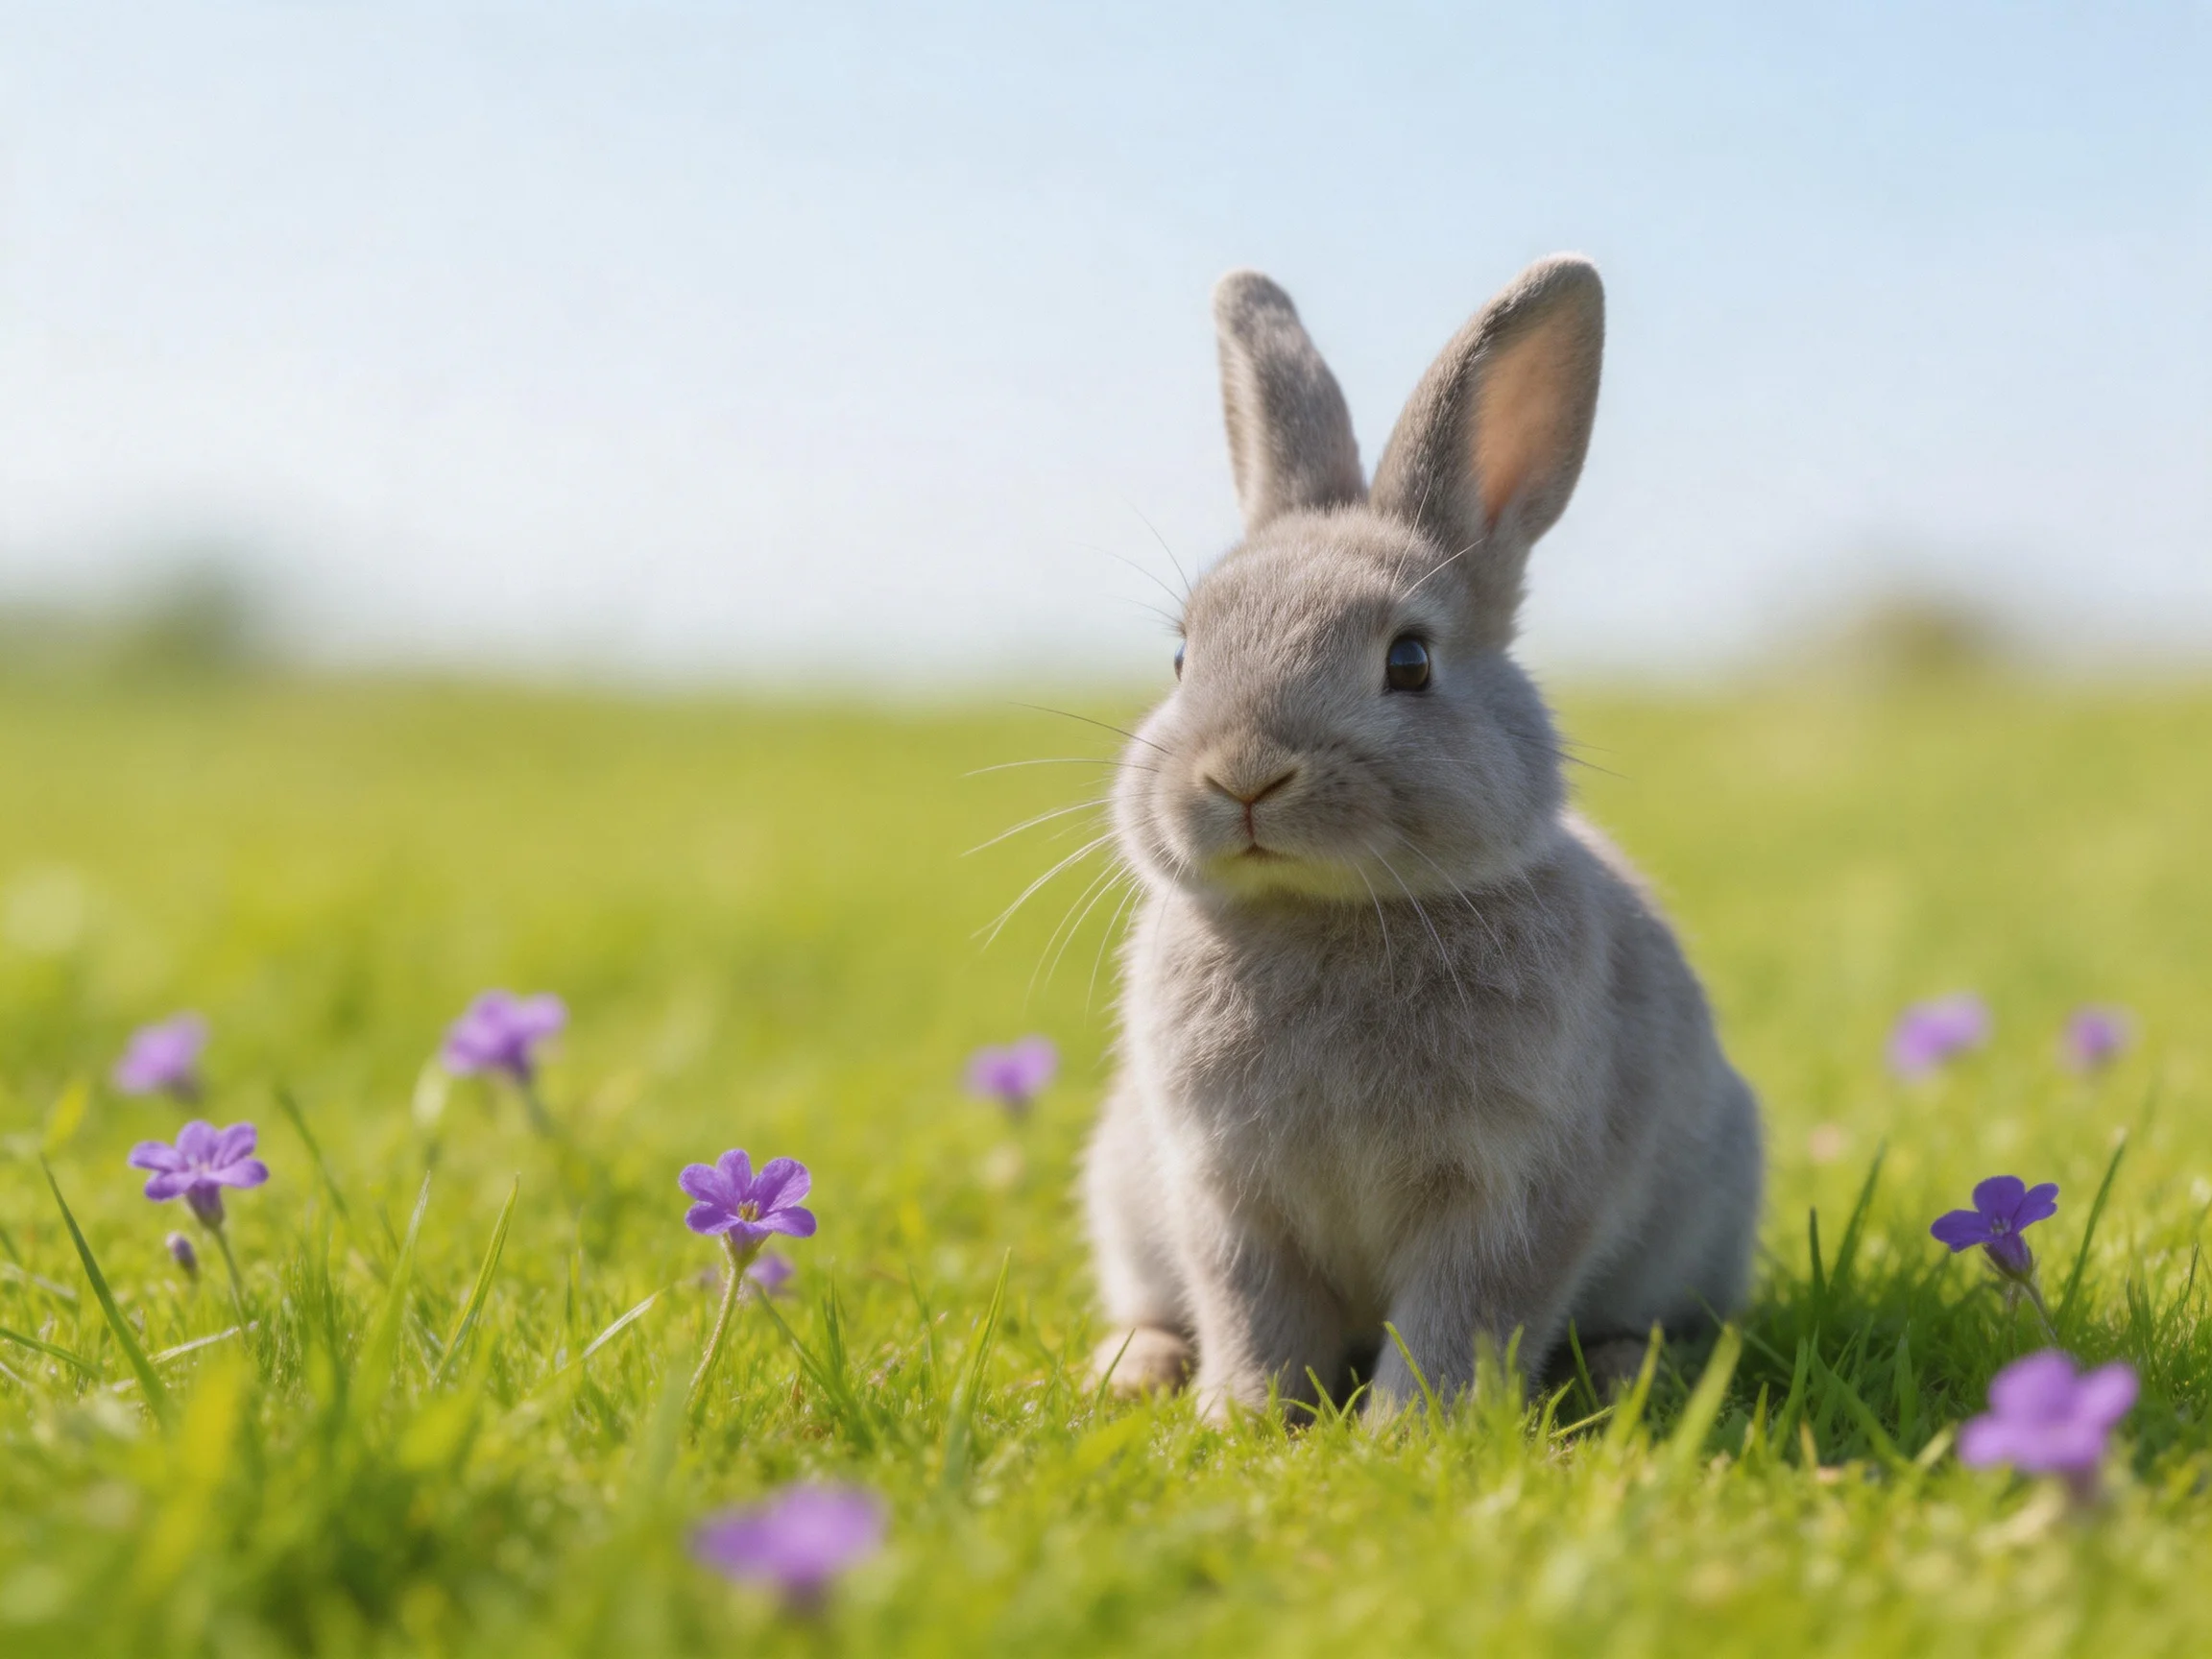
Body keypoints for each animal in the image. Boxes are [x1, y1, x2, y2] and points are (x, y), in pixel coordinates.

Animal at [1082, 255, 1763, 1419]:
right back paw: (1137, 1368)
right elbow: (1252, 1311)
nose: (1242, 773)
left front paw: (1409, 1431)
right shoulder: (1223, 1194)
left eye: (1410, 661)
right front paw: (1244, 1418)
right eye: (1182, 657)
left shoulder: (1513, 1196)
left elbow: (1463, 1317)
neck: (1325, 915)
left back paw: (1632, 1376)